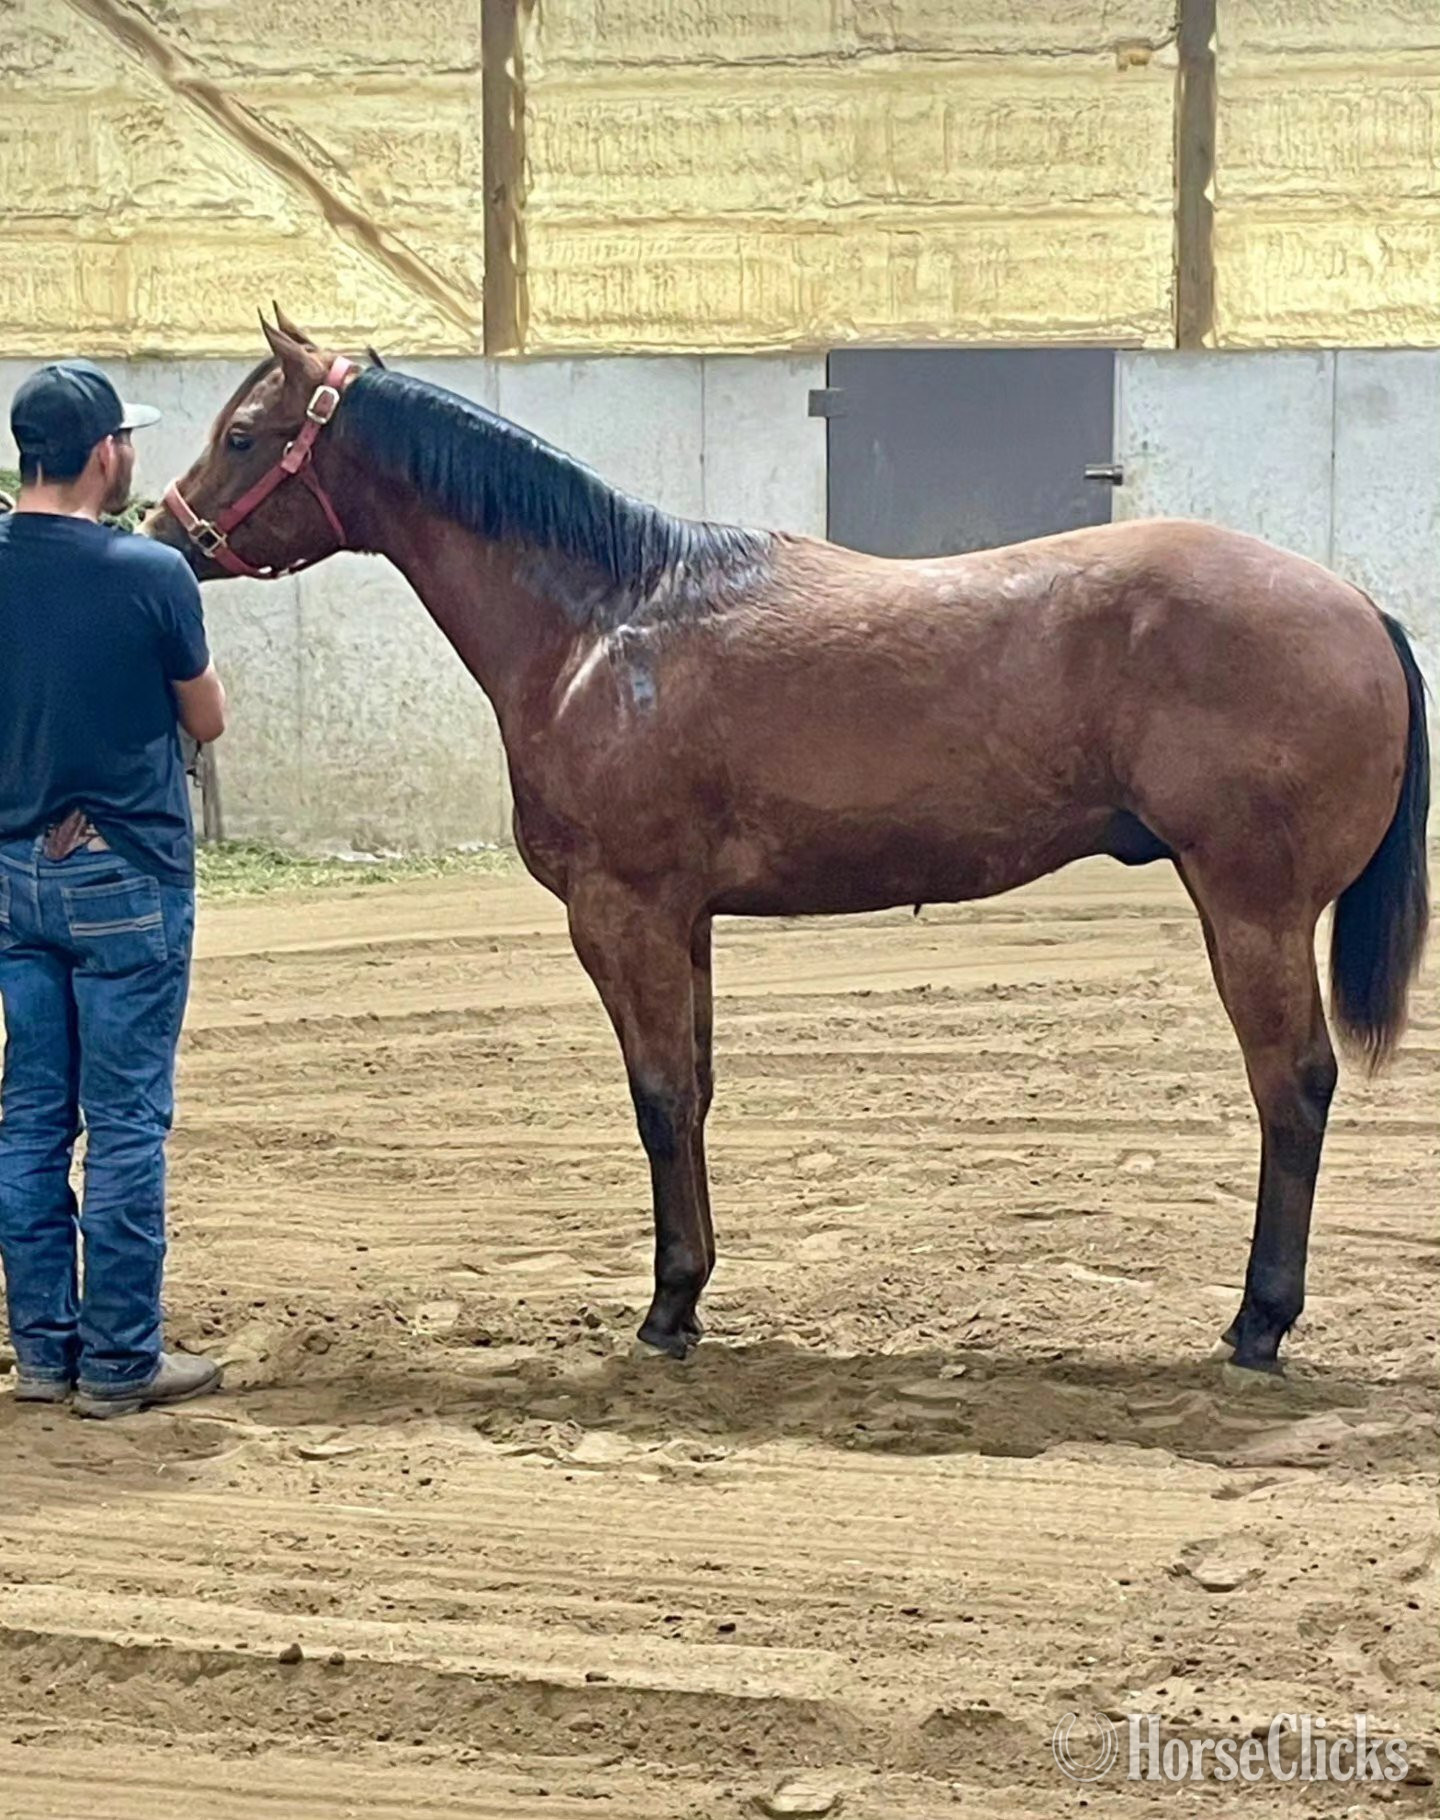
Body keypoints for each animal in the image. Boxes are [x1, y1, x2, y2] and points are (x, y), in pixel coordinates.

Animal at [144, 313, 1430, 1374]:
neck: (603, 625)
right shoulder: (684, 920)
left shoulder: (622, 911)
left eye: (246, 434)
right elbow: (696, 1091)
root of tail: (1356, 607)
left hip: (1254, 909)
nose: (162, 533)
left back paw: (1258, 1322)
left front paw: (667, 1308)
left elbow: (657, 1093)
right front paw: (695, 1290)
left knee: (1292, 1086)